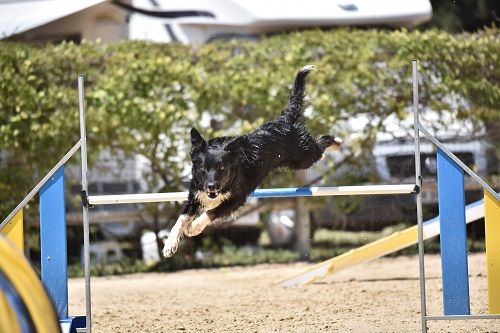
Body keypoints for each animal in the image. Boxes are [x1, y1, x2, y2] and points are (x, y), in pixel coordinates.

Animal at [162, 65, 342, 256]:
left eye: (221, 168)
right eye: (203, 168)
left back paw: (336, 141)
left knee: (320, 146)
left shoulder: (237, 198)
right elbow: (181, 218)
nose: (211, 187)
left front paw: (195, 227)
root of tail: (285, 120)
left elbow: (212, 212)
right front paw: (169, 245)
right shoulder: (195, 194)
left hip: (304, 156)